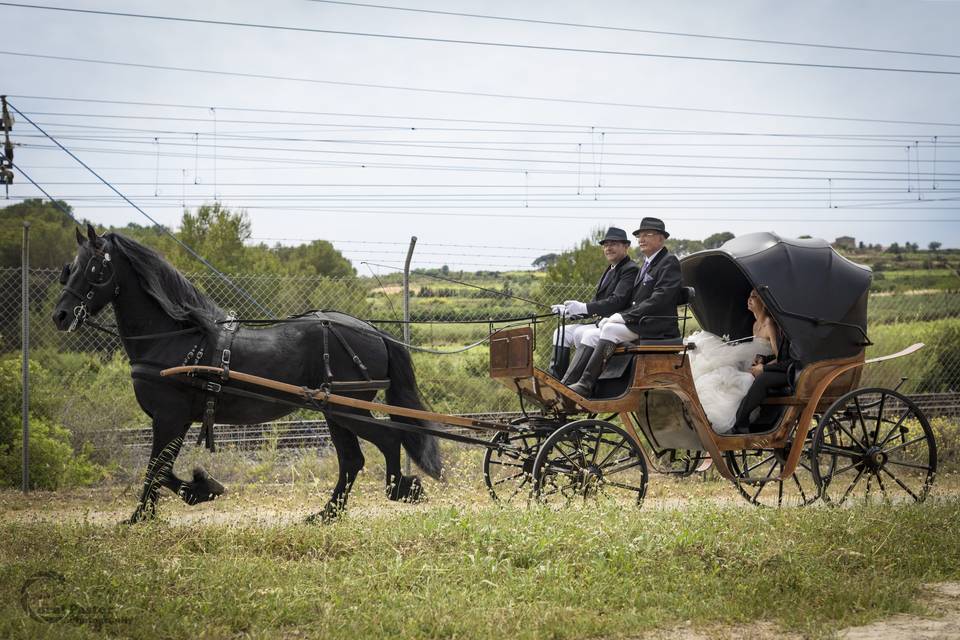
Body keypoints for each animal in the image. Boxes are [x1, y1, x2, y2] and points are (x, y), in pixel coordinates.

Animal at [52, 225, 442, 524]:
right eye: (69, 268)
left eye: (94, 269)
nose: (60, 315)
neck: (175, 336)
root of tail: (373, 330)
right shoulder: (177, 419)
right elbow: (162, 470)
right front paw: (195, 491)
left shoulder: (169, 416)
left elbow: (156, 469)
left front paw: (146, 514)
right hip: (334, 411)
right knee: (352, 460)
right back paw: (327, 514)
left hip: (347, 409)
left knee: (387, 440)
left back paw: (401, 488)